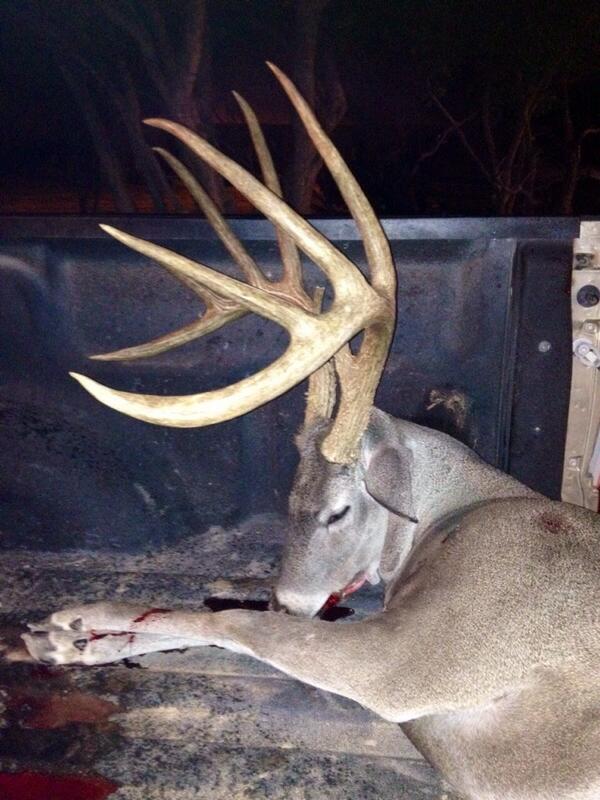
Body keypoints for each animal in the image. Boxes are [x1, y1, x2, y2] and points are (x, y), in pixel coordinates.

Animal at [23, 64, 600, 800]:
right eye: (289, 497)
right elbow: (236, 617)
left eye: (339, 511)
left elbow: (241, 621)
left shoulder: (424, 653)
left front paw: (80, 621)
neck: (462, 510)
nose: (294, 597)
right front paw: (67, 631)